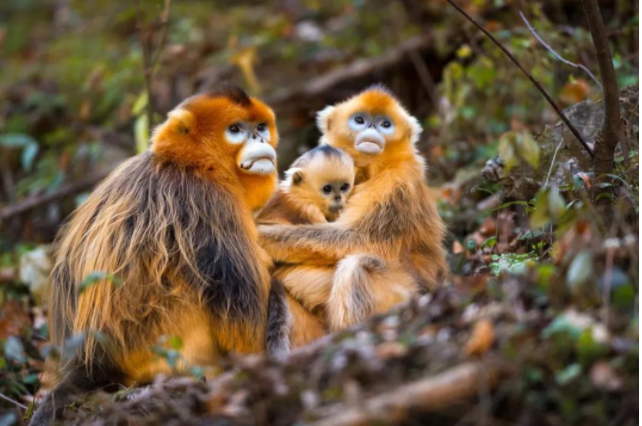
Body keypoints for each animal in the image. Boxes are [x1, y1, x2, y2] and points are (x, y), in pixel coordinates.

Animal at [31, 85, 288, 424]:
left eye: (260, 127)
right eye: (235, 130)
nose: (259, 138)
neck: (187, 164)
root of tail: (89, 363)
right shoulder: (209, 202)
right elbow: (244, 331)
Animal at [256, 85, 444, 332]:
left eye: (385, 124)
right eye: (360, 120)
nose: (372, 128)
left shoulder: (397, 183)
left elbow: (355, 237)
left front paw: (259, 235)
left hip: (408, 294)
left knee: (357, 266)